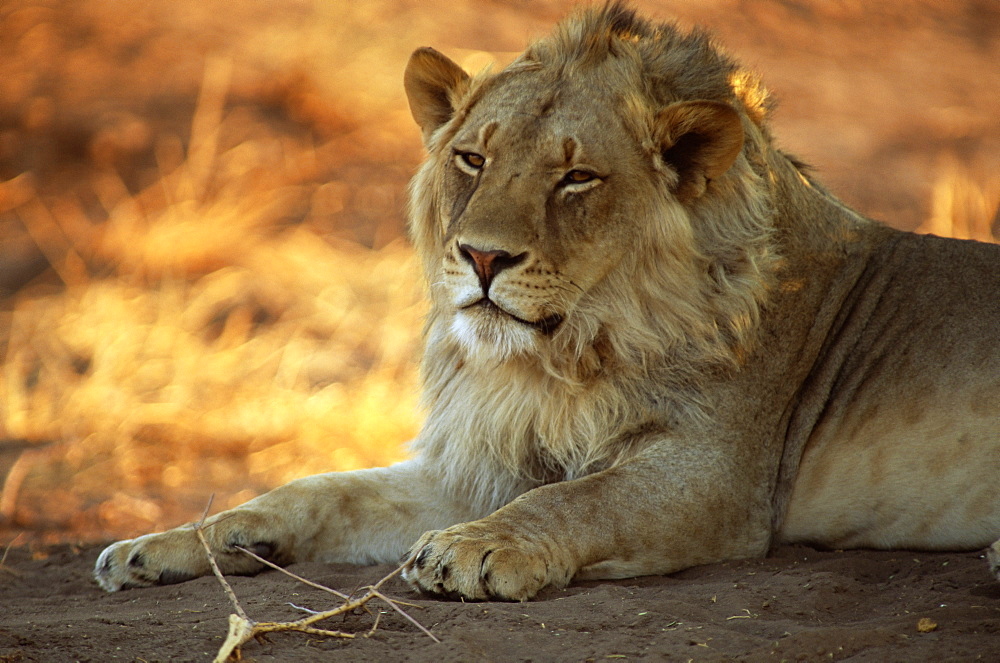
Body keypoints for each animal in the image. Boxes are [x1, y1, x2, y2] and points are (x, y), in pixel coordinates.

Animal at [94, 1, 1000, 600]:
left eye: (577, 178)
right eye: (471, 158)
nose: (482, 255)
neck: (552, 360)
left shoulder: (714, 474)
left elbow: (578, 496)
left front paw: (473, 552)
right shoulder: (488, 457)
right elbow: (323, 488)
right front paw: (176, 541)